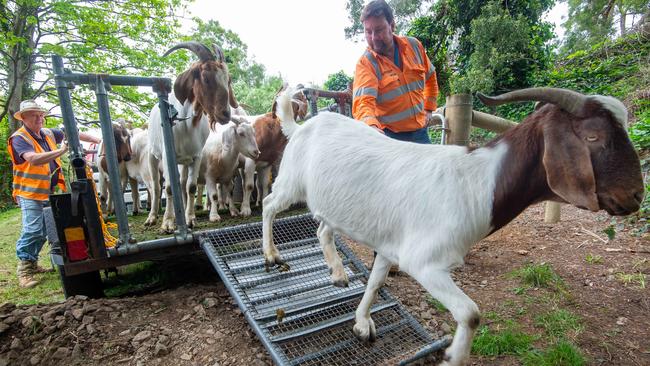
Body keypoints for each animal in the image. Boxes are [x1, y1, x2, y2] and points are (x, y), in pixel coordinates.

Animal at [260, 88, 644, 366]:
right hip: (292, 182)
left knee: (323, 229)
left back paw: (338, 273)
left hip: (333, 205)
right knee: (268, 205)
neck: (477, 184)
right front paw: (453, 358)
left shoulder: (392, 244)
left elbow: (376, 281)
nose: (636, 196)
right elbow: (471, 314)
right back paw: (271, 255)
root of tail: (300, 127)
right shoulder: (424, 262)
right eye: (593, 137)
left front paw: (362, 322)